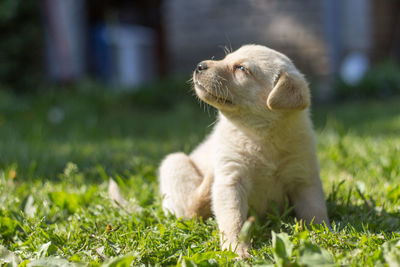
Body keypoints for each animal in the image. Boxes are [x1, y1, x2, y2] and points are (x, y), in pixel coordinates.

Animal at [158, 45, 330, 258]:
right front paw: (236, 251)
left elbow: (315, 211)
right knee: (192, 210)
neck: (261, 135)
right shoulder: (230, 181)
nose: (199, 66)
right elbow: (233, 220)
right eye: (226, 58)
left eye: (241, 68)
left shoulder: (304, 177)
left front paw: (322, 236)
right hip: (174, 163)